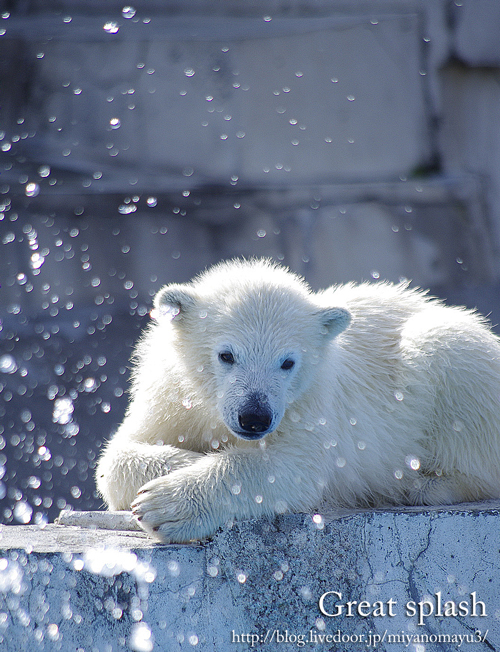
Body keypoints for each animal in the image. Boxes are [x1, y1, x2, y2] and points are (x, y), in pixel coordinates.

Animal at [95, 258, 500, 544]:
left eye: (288, 362)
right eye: (226, 355)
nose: (254, 416)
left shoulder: (310, 402)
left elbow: (294, 467)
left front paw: (164, 505)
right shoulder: (169, 394)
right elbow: (118, 456)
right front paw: (187, 459)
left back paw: (422, 486)